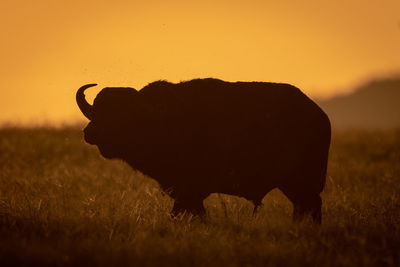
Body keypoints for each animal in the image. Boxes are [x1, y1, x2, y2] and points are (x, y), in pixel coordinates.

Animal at [76, 78, 330, 223]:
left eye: (121, 114)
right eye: (97, 109)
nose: (90, 132)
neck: (158, 117)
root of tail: (320, 115)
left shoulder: (190, 191)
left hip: (300, 183)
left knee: (309, 206)